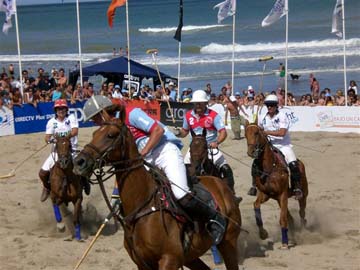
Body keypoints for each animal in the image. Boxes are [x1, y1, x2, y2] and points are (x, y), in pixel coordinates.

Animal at [73, 110, 242, 270]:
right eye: (94, 133)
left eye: (110, 135)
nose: (79, 161)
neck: (142, 202)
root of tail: (221, 185)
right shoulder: (142, 263)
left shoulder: (169, 259)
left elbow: (157, 130)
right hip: (191, 257)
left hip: (228, 243)